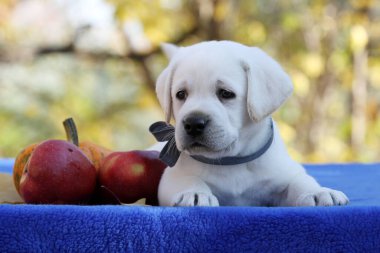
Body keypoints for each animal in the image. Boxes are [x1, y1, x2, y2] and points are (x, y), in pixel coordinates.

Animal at [151, 41, 348, 207]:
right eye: (181, 94)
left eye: (226, 93)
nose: (193, 123)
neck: (232, 161)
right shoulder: (171, 177)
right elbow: (188, 179)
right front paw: (194, 193)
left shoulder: (286, 172)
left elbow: (300, 180)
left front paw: (317, 192)